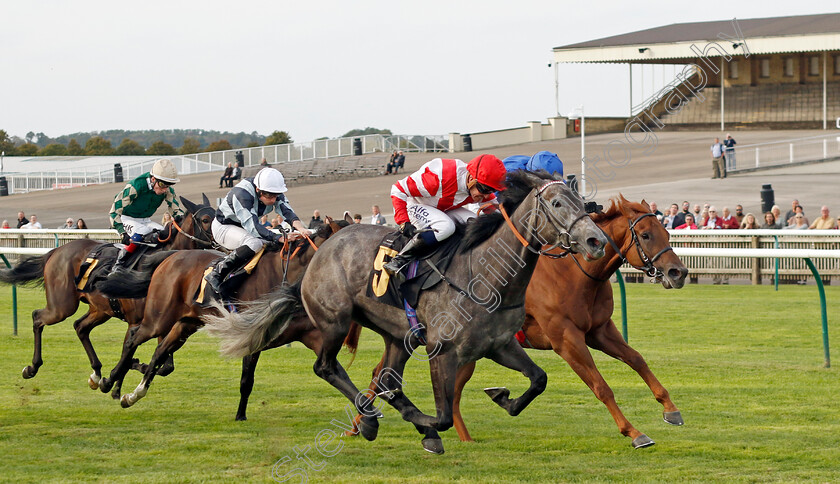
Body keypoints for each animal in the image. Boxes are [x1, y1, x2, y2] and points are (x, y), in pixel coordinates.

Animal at [0, 195, 217, 392]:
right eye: (206, 220)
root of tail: (56, 251)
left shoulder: (163, 321)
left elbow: (166, 366)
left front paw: (124, 374)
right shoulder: (136, 321)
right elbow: (132, 351)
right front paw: (117, 380)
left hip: (100, 309)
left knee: (80, 327)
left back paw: (96, 374)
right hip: (62, 305)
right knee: (38, 317)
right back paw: (32, 367)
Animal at [96, 216, 358, 408]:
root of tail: (171, 256)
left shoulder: (310, 336)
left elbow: (334, 371)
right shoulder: (253, 337)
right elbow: (246, 380)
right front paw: (240, 416)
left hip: (186, 323)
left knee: (159, 353)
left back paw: (133, 393)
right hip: (158, 318)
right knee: (134, 338)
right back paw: (107, 380)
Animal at [203, 171, 612, 454]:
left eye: (581, 201)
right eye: (557, 204)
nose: (597, 241)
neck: (485, 274)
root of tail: (321, 250)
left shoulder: (499, 345)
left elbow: (538, 379)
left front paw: (502, 396)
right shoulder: (442, 350)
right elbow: (444, 416)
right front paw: (427, 426)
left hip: (397, 338)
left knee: (384, 378)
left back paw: (379, 415)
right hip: (335, 322)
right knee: (327, 367)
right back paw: (372, 421)